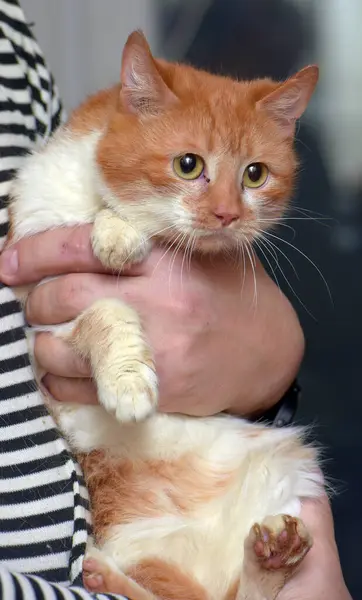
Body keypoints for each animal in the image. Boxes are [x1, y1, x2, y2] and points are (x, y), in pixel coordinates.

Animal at [7, 31, 322, 600]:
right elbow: (105, 311)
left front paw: (116, 232)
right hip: (140, 538)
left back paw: (271, 556)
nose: (227, 214)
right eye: (188, 165)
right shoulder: (40, 306)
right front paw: (128, 381)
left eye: (255, 174)